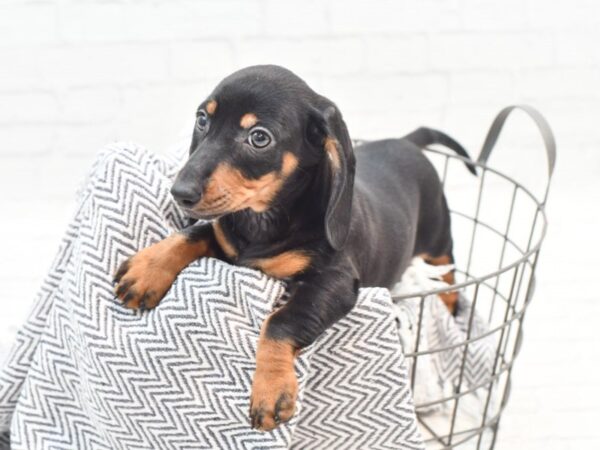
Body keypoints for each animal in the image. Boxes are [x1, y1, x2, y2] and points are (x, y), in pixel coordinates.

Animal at [113, 64, 474, 432]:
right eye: (203, 119)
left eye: (259, 137)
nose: (180, 192)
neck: (265, 220)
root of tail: (407, 142)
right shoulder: (227, 243)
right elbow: (193, 234)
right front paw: (147, 270)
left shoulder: (335, 281)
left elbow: (281, 321)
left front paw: (271, 389)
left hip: (438, 237)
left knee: (448, 274)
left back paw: (450, 304)